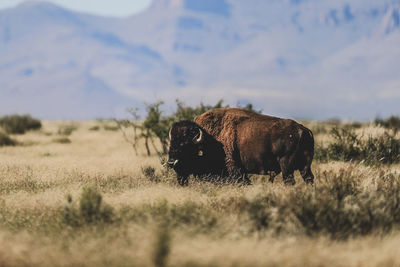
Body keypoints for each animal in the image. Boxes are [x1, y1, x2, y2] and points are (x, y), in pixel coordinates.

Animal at [167, 108, 314, 186]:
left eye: (185, 145)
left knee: (289, 181)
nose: (171, 163)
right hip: (305, 167)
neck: (209, 139)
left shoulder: (235, 170)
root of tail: (304, 130)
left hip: (286, 166)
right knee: (309, 179)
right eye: (171, 143)